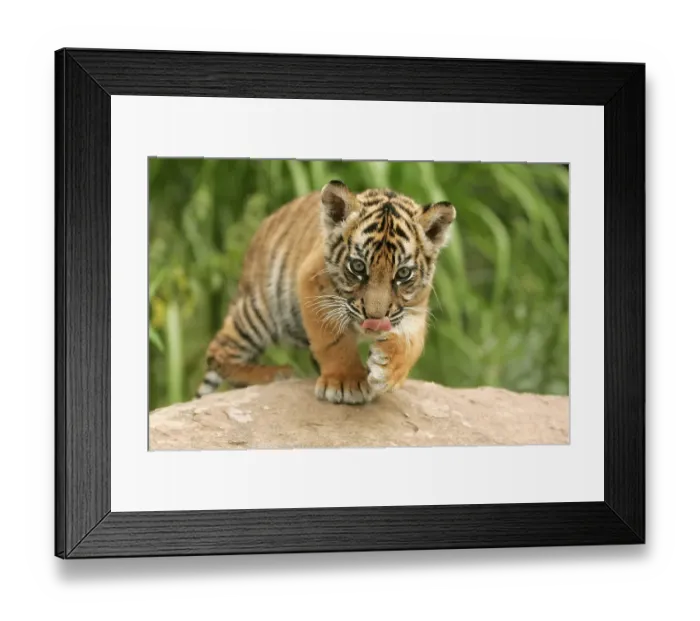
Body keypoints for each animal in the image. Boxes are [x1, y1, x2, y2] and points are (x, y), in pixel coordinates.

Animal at [194, 180, 456, 405]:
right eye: (358, 266)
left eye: (402, 273)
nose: (374, 319)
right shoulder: (315, 289)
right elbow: (334, 340)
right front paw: (346, 383)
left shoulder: (415, 308)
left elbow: (411, 343)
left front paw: (386, 369)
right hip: (261, 311)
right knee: (217, 352)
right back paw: (277, 374)